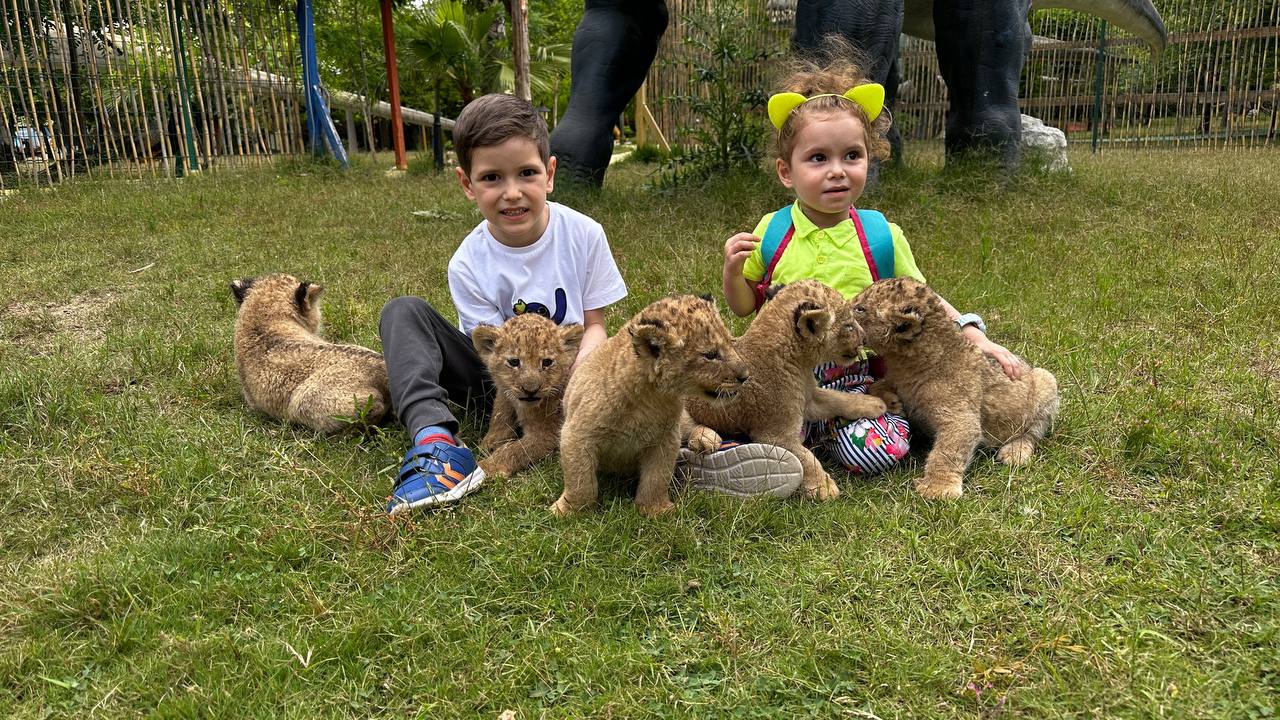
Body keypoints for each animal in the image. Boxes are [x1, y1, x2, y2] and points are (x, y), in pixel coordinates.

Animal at [470, 314, 585, 477]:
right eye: (514, 362)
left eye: (547, 362)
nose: (530, 390)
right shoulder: (505, 393)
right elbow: (499, 412)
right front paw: (490, 441)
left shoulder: (548, 434)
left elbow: (515, 450)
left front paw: (485, 467)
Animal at [553, 294, 749, 517]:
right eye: (710, 355)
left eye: (731, 342)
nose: (745, 376)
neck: (651, 398)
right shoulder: (577, 435)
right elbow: (580, 480)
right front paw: (570, 511)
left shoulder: (666, 438)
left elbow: (657, 476)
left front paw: (655, 509)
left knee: (690, 424)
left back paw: (706, 438)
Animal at [681, 280, 887, 500]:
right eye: (848, 326)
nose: (864, 339)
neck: (799, 363)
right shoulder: (775, 434)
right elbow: (805, 455)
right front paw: (822, 487)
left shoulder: (810, 399)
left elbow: (837, 398)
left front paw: (873, 403)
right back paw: (705, 441)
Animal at [853, 277, 1060, 499]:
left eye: (860, 308)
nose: (844, 307)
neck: (906, 364)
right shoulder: (895, 378)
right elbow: (875, 385)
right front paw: (890, 402)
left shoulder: (960, 418)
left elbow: (946, 451)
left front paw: (937, 488)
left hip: (1046, 382)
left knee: (1033, 431)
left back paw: (1015, 452)